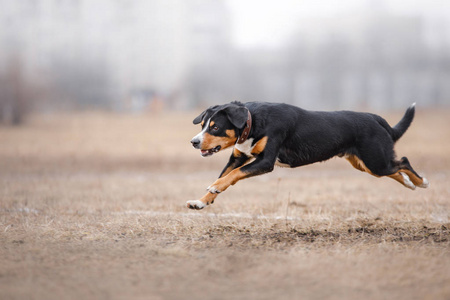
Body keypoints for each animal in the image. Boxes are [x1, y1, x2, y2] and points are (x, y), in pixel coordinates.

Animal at [186, 101, 428, 209]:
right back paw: (409, 184)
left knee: (403, 162)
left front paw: (214, 188)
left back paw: (421, 182)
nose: (194, 142)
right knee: (395, 169)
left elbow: (231, 175)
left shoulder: (265, 161)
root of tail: (376, 118)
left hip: (374, 160)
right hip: (367, 164)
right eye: (204, 124)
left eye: (215, 127)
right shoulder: (238, 156)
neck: (252, 123)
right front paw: (201, 201)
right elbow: (225, 174)